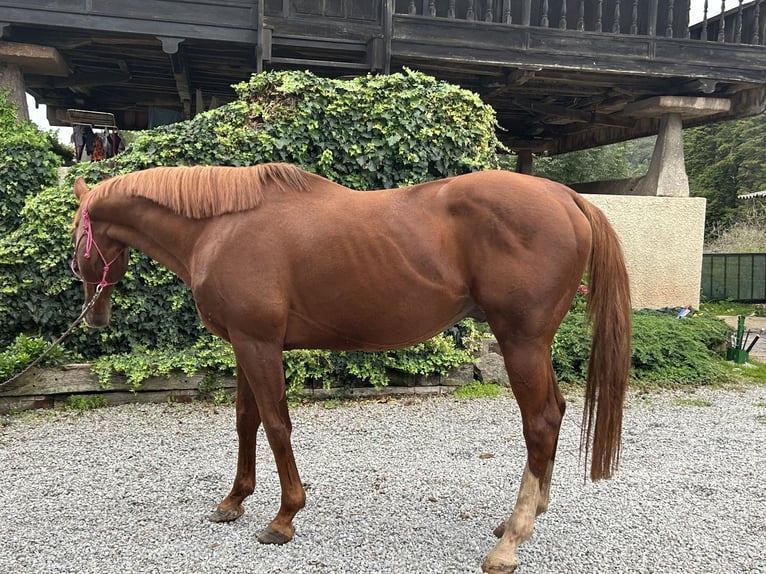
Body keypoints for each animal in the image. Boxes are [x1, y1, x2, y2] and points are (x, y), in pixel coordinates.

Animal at [72, 163, 632, 574]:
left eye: (76, 241)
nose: (93, 317)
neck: (221, 227)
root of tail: (567, 198)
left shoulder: (259, 344)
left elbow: (276, 425)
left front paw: (284, 517)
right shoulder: (245, 345)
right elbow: (247, 423)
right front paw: (233, 501)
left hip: (521, 342)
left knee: (540, 423)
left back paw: (509, 544)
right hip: (534, 345)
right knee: (556, 414)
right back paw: (528, 515)